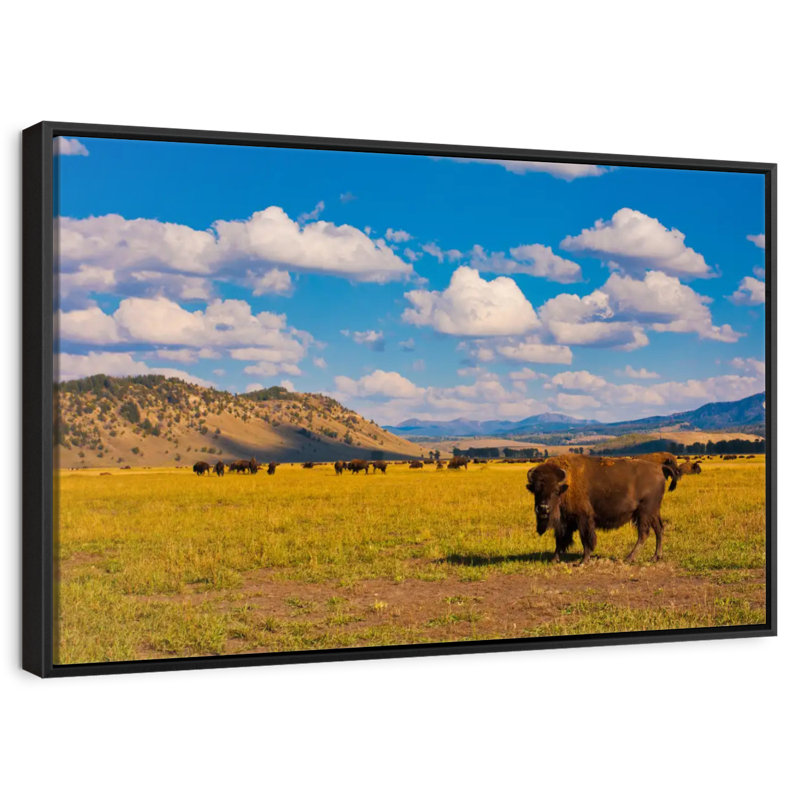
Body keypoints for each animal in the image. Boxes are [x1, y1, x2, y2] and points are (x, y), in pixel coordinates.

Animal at [526, 454, 675, 564]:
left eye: (556, 490)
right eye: (536, 490)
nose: (543, 508)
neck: (567, 485)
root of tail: (659, 467)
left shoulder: (583, 518)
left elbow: (586, 539)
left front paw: (583, 561)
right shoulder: (565, 522)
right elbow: (560, 540)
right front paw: (554, 560)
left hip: (644, 512)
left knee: (644, 533)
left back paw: (629, 558)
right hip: (653, 512)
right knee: (659, 529)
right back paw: (655, 557)